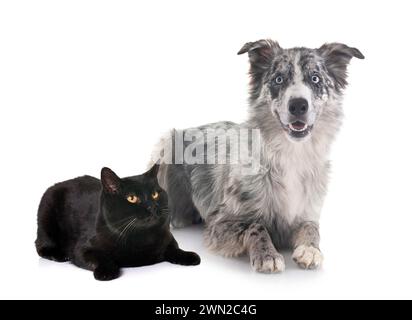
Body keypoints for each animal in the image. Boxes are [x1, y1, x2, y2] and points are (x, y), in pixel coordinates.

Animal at [36, 165, 200, 280]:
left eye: (154, 194)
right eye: (132, 198)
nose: (151, 206)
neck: (141, 239)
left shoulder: (168, 238)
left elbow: (175, 249)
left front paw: (189, 256)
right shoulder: (82, 249)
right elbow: (100, 257)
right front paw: (107, 271)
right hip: (46, 217)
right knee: (40, 245)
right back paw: (59, 255)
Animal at [152, 38, 364, 272]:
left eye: (315, 78)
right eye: (279, 79)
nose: (298, 105)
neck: (290, 154)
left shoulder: (307, 212)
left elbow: (311, 228)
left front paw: (310, 250)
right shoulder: (219, 223)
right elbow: (255, 225)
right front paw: (267, 255)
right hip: (165, 149)